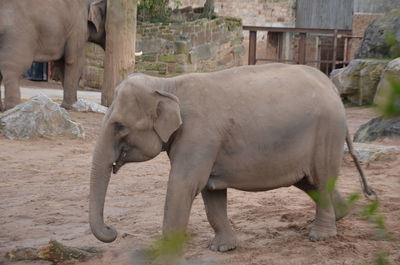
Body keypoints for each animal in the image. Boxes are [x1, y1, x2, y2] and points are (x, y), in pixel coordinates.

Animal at [88, 64, 376, 252]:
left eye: (119, 127)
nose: (113, 231)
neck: (167, 84)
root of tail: (332, 87)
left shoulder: (200, 136)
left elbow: (183, 184)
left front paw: (164, 250)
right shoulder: (204, 144)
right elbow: (210, 191)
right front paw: (222, 248)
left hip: (327, 132)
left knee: (321, 179)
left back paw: (320, 237)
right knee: (310, 182)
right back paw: (341, 215)